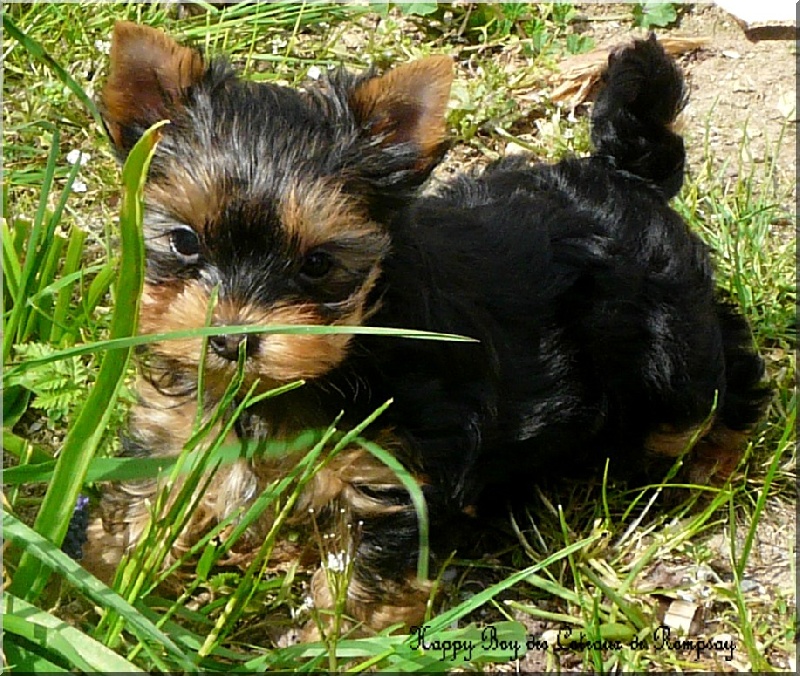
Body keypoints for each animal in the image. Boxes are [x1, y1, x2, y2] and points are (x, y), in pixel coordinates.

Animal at [83, 23, 768, 636]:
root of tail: (627, 176)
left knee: (713, 384)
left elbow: (363, 571)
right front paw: (104, 586)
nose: (230, 340)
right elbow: (141, 500)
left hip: (669, 348)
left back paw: (710, 461)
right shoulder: (177, 428)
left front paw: (340, 641)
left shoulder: (390, 471)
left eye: (318, 265)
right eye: (185, 241)